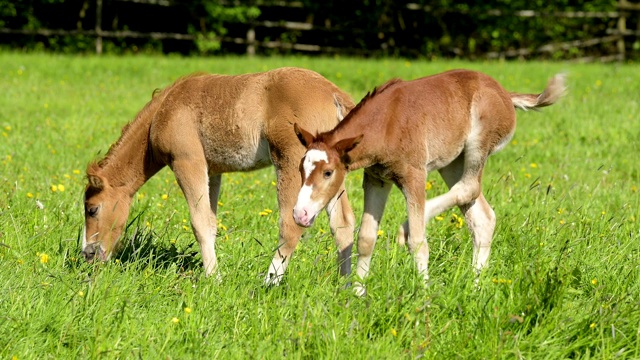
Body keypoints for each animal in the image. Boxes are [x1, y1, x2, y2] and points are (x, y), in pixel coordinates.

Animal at [80, 66, 358, 282]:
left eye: (92, 209)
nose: (88, 254)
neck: (164, 111)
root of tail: (333, 93)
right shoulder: (212, 171)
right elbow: (211, 223)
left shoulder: (187, 162)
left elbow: (199, 222)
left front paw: (214, 279)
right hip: (328, 174)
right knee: (343, 223)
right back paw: (345, 286)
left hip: (292, 163)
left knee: (291, 224)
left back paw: (268, 283)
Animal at [292, 69, 568, 294]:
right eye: (300, 169)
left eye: (328, 172)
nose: (300, 214)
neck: (386, 122)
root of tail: (505, 94)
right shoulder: (376, 179)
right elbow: (366, 239)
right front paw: (357, 296)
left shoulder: (414, 176)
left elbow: (418, 242)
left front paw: (423, 298)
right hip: (452, 162)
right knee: (482, 216)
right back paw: (475, 286)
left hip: (478, 145)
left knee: (469, 189)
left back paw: (409, 229)